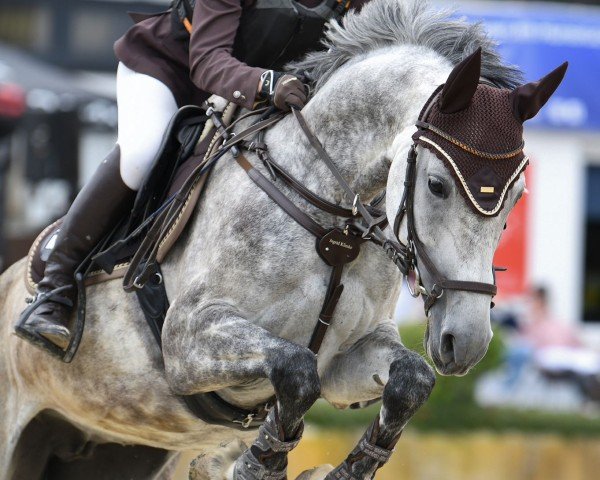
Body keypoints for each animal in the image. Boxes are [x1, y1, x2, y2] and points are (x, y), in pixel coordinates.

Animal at [0, 0, 564, 480]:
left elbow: (410, 381)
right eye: (437, 185)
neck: (333, 216)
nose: (465, 343)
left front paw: (342, 469)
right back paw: (49, 311)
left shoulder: (347, 357)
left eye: (517, 198)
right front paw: (256, 464)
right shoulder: (187, 340)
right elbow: (295, 369)